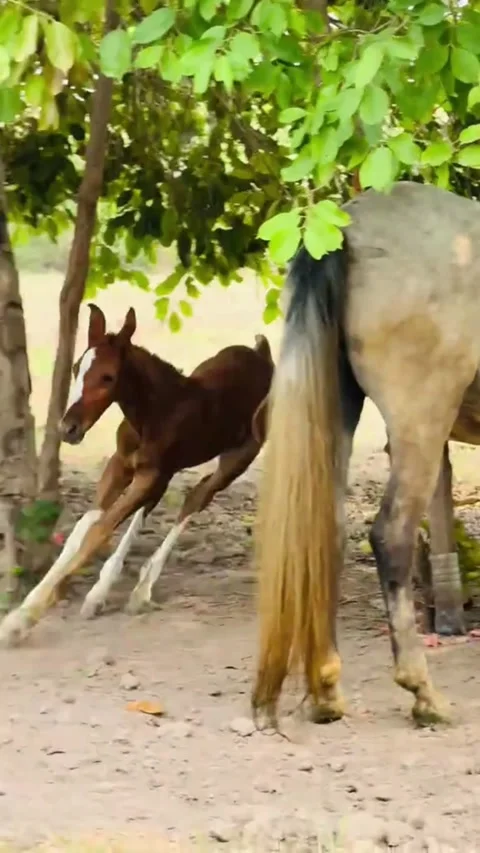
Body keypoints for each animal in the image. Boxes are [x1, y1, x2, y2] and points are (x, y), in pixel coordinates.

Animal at [0, 304, 274, 645]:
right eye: (76, 368)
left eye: (108, 377)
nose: (69, 428)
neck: (152, 414)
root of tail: (263, 355)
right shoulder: (121, 465)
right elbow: (83, 529)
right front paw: (36, 602)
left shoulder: (149, 474)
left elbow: (99, 530)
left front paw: (23, 619)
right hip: (168, 471)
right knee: (165, 503)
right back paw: (109, 591)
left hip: (236, 460)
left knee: (197, 498)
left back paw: (141, 590)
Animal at [252, 181, 480, 730]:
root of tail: (350, 228)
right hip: (421, 420)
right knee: (391, 537)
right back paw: (423, 693)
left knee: (326, 532)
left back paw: (327, 690)